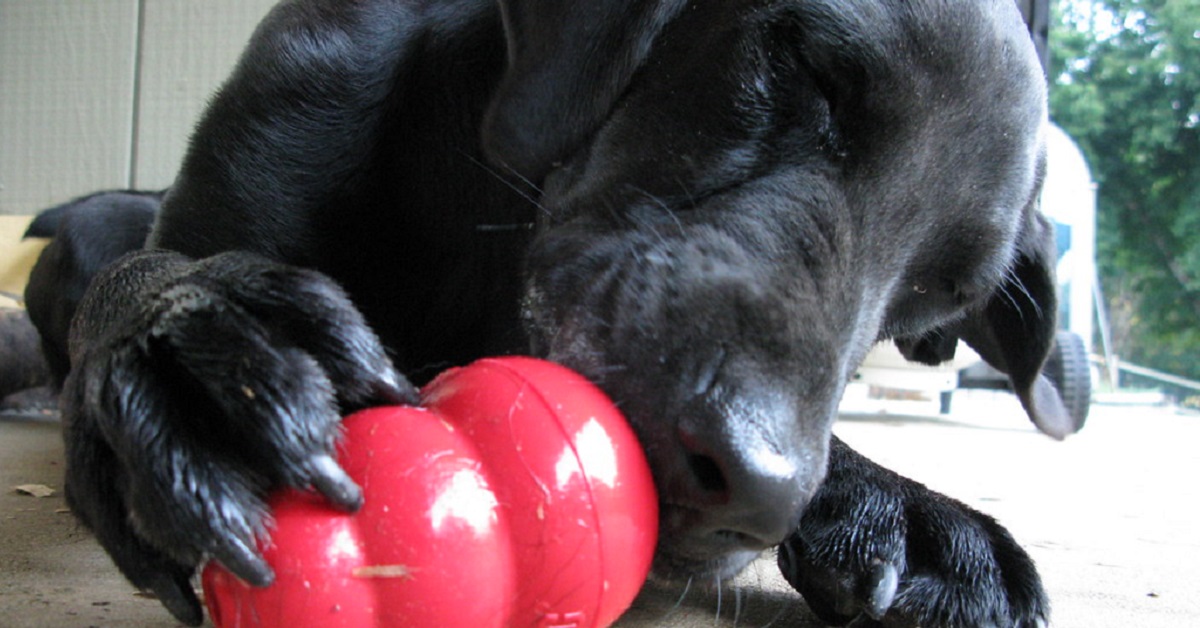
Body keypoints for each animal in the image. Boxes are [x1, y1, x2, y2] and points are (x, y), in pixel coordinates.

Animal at [58, 2, 1070, 624]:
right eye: (806, 66)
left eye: (940, 296)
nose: (752, 491)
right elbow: (145, 275)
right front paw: (186, 341)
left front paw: (899, 504)